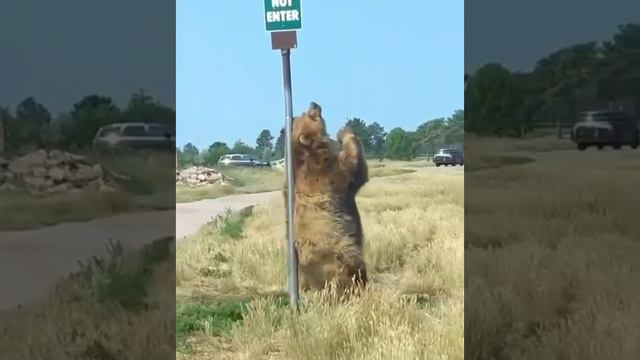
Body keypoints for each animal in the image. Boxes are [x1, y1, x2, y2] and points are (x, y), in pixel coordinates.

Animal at [280, 101, 370, 292]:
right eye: (309, 114)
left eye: (302, 112)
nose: (314, 103)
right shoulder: (328, 171)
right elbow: (355, 167)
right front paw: (344, 131)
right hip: (341, 252)